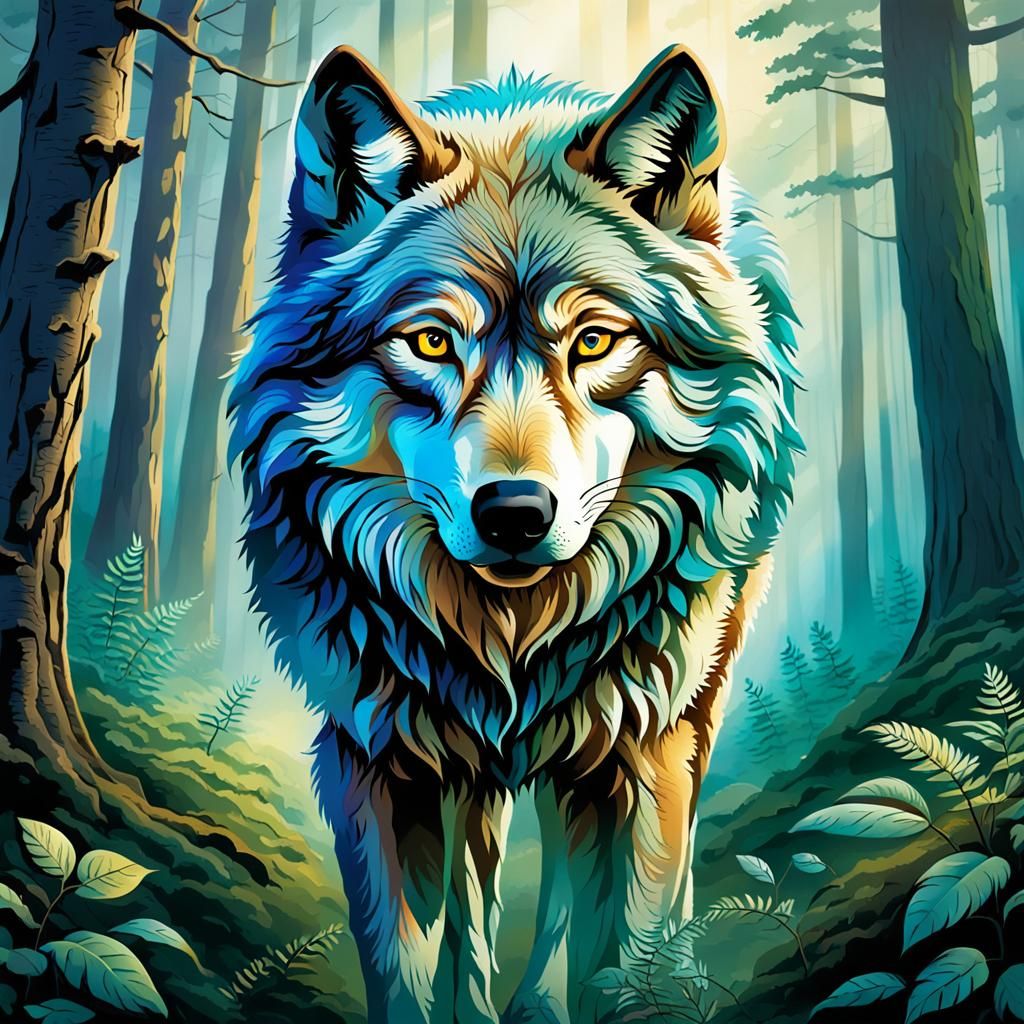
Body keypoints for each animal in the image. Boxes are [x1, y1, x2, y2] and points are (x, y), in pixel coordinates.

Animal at [229, 42, 800, 1024]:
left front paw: (640, 990)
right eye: (429, 343)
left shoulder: (638, 752)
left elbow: (622, 944)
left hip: (683, 695)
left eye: (594, 341)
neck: (509, 637)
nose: (515, 513)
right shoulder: (380, 760)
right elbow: (411, 966)